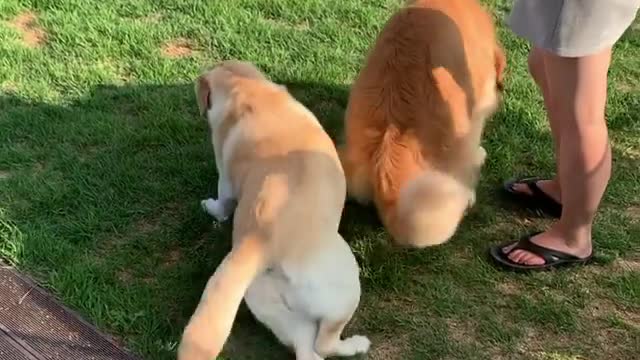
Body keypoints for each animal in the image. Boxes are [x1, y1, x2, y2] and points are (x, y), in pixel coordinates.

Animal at [178, 60, 372, 360]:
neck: (248, 91)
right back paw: (358, 344)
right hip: (344, 290)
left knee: (308, 349)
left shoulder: (226, 178)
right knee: (324, 343)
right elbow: (222, 203)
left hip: (267, 302)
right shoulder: (225, 179)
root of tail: (259, 243)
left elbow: (223, 201)